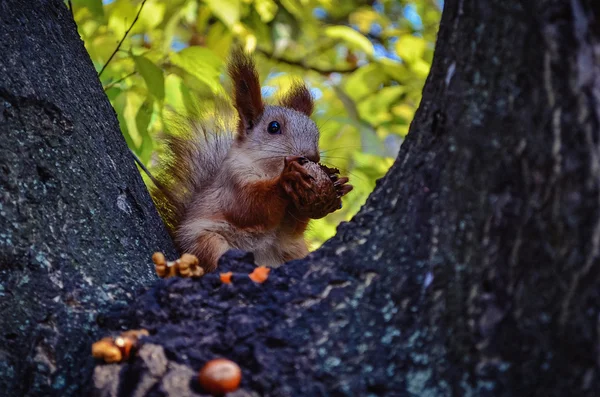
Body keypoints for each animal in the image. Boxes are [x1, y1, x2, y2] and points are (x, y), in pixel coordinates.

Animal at [150, 49, 354, 270]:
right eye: (273, 127)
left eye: (316, 133)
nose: (311, 157)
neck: (269, 170)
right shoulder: (232, 182)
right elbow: (249, 207)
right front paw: (287, 179)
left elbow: (293, 227)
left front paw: (337, 183)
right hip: (205, 243)